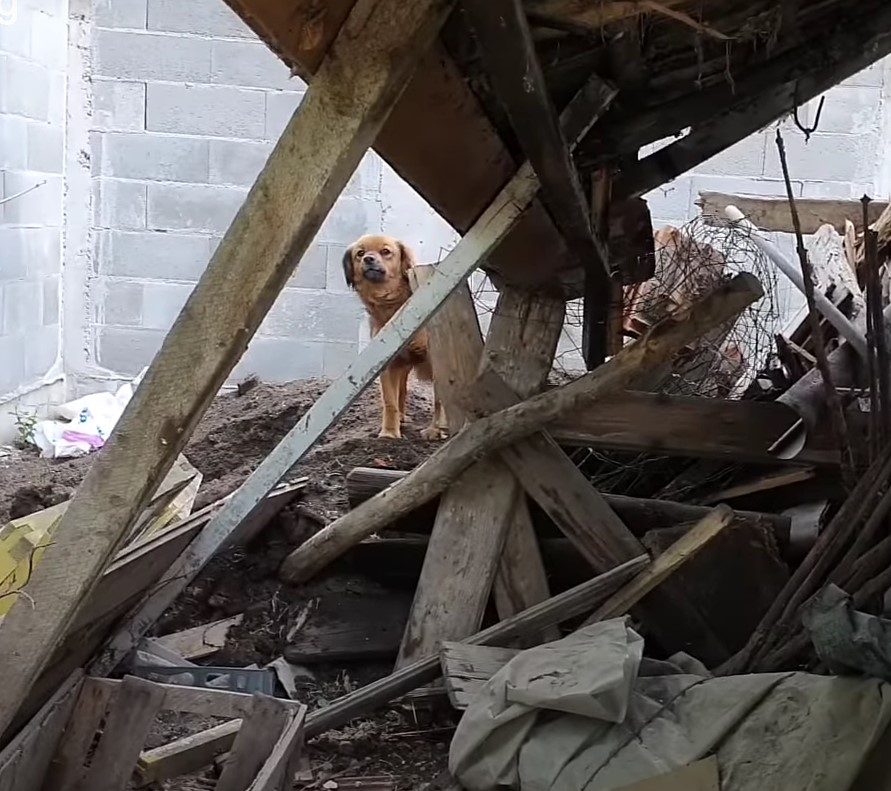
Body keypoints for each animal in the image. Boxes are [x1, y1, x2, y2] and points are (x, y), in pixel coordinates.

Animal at [344, 232, 450, 442]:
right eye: (360, 253)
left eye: (386, 251)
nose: (368, 259)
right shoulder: (388, 364)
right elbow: (390, 401)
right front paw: (389, 433)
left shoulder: (435, 361)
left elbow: (439, 400)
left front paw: (435, 430)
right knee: (402, 391)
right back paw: (400, 418)